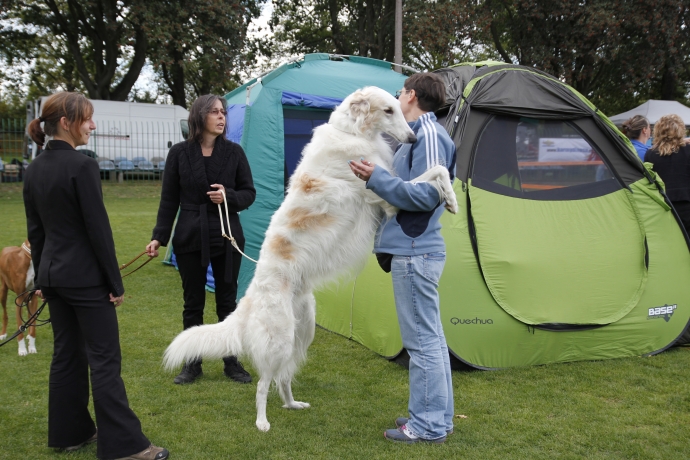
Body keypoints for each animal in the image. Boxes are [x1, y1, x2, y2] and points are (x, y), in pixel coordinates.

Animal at [163, 86, 456, 432]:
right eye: (388, 110)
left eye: (398, 108)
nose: (412, 138)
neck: (351, 132)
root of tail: (248, 299)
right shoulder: (384, 197)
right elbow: (431, 174)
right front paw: (450, 197)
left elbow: (437, 171)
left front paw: (451, 198)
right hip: (279, 339)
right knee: (263, 384)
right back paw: (262, 422)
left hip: (302, 333)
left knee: (282, 379)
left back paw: (292, 404)